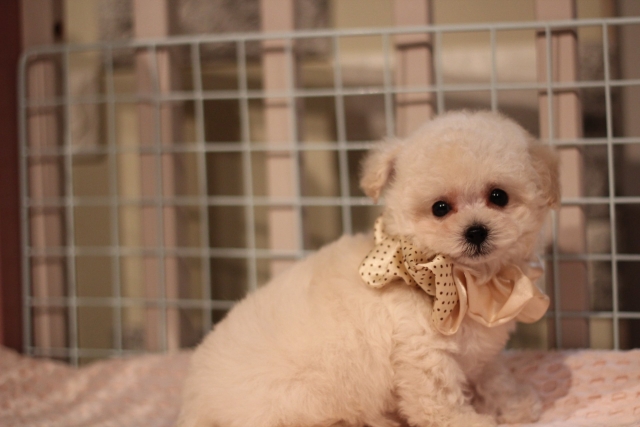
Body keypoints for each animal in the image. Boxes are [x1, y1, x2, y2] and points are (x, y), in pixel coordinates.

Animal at [177, 110, 560, 427]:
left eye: (499, 197)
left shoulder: (479, 355)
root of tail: (195, 402)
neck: (465, 281)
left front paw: (514, 403)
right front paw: (472, 422)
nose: (476, 231)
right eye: (440, 208)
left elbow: (492, 375)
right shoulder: (422, 353)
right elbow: (438, 402)